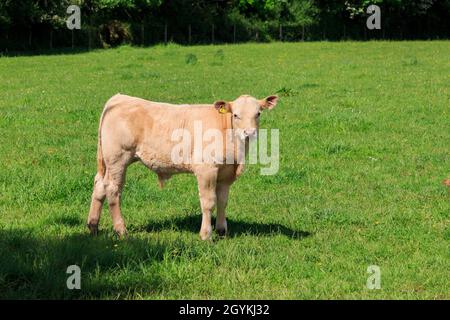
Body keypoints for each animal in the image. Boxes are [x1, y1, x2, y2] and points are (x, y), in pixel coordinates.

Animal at [86, 94, 278, 239]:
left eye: (258, 113)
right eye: (236, 115)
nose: (249, 133)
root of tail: (119, 98)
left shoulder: (225, 173)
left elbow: (223, 201)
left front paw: (222, 230)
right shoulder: (206, 170)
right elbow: (208, 202)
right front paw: (206, 234)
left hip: (108, 162)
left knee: (99, 185)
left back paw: (93, 226)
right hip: (118, 159)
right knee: (112, 190)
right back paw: (121, 230)